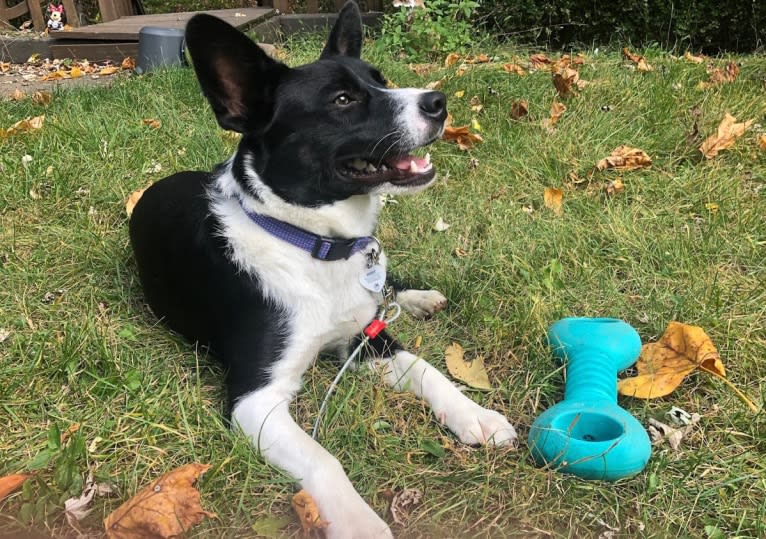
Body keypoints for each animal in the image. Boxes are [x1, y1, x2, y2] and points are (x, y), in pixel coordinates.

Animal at [129, 2, 520, 536]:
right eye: (342, 100)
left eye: (380, 80)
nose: (439, 101)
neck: (311, 244)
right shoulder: (255, 400)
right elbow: (324, 459)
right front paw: (360, 522)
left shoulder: (366, 338)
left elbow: (429, 369)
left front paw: (475, 414)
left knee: (388, 291)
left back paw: (418, 297)